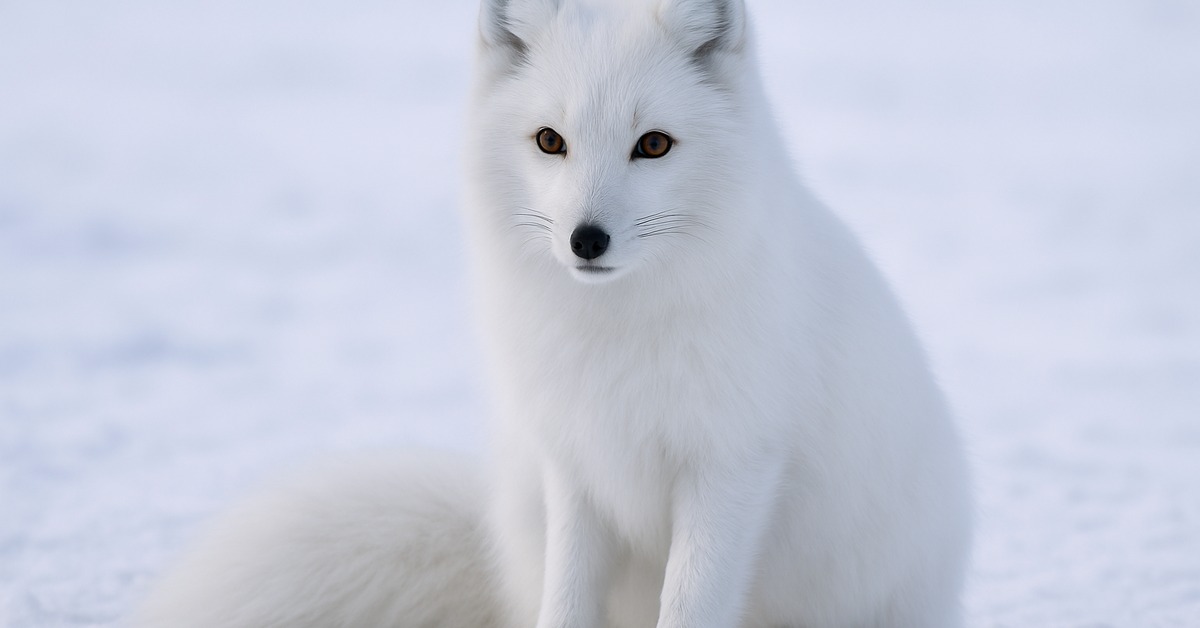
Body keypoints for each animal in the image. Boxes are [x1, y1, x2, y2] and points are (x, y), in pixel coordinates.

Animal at [135, 1, 972, 627]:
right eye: (549, 140)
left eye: (653, 144)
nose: (585, 239)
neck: (616, 335)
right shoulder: (574, 464)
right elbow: (565, 602)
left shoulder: (731, 465)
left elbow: (690, 602)